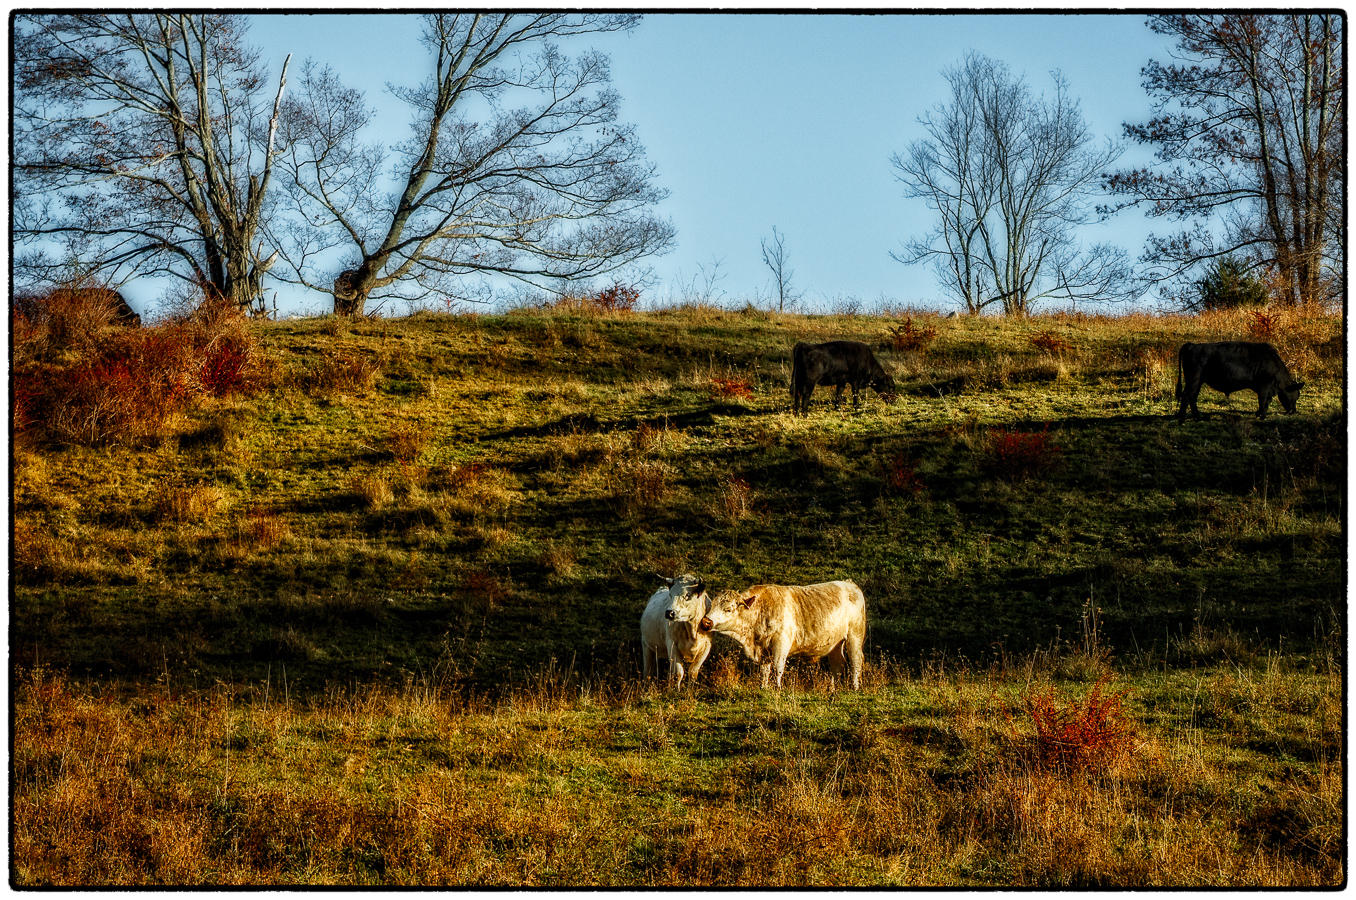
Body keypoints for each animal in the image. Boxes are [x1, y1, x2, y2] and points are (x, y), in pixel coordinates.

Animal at [705, 577, 862, 688]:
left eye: (728, 609)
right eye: (711, 605)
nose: (706, 621)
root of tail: (848, 583)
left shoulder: (780, 644)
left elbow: (777, 667)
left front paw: (777, 688)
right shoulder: (763, 649)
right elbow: (765, 670)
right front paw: (763, 687)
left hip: (854, 637)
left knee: (856, 662)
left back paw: (854, 688)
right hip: (836, 643)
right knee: (837, 664)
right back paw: (832, 689)